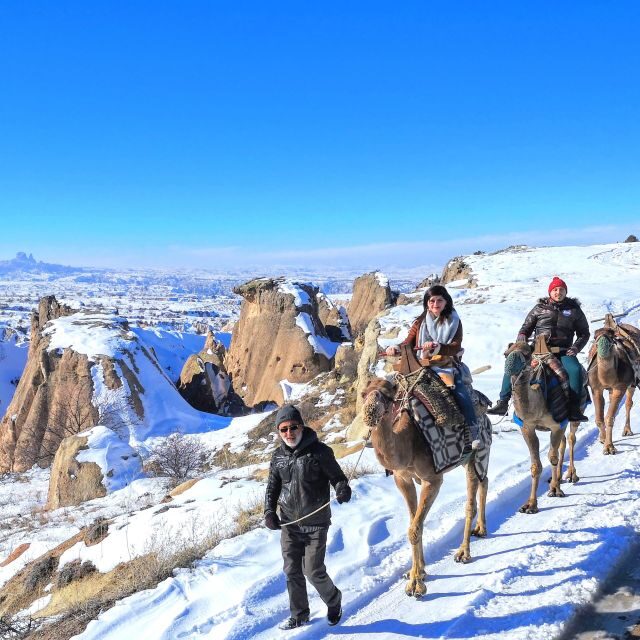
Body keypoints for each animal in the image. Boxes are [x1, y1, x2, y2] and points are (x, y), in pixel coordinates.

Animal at [361, 373, 491, 597]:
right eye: (363, 394)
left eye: (388, 394)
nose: (370, 412)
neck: (407, 444)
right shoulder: (403, 479)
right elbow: (414, 523)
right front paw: (418, 572)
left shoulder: (432, 479)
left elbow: (414, 529)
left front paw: (416, 585)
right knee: (485, 481)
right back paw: (481, 529)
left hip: (476, 453)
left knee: (471, 503)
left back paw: (463, 552)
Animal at [587, 314, 638, 455]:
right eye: (594, 336)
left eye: (611, 335)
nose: (602, 343)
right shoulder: (595, 388)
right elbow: (600, 418)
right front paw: (603, 439)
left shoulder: (620, 387)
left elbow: (610, 417)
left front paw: (609, 447)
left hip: (631, 383)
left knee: (628, 403)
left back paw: (627, 430)